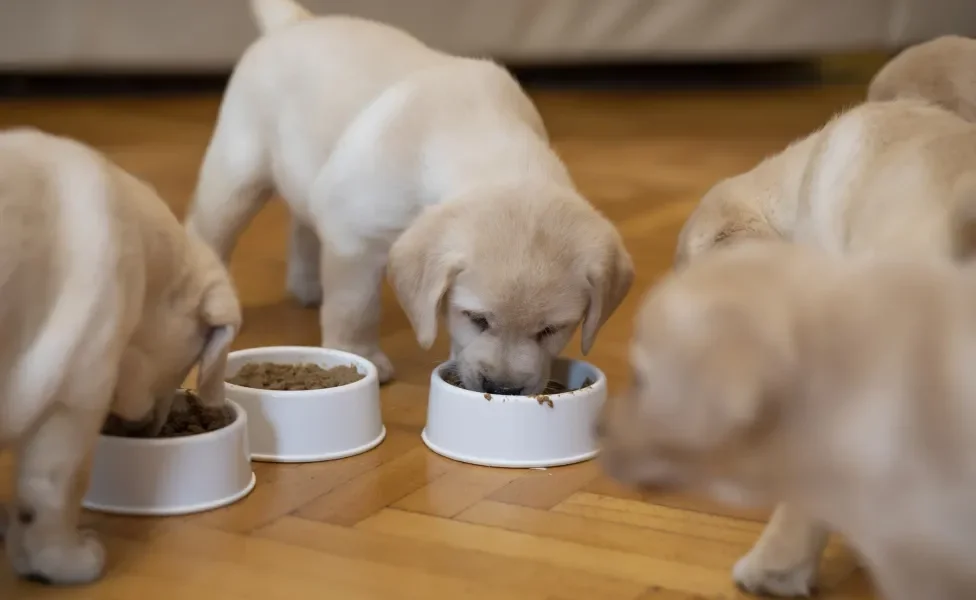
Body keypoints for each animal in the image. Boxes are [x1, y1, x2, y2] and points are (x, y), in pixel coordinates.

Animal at [183, 0, 632, 396]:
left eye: (551, 330)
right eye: (477, 318)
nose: (502, 388)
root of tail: (296, 22)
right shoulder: (354, 236)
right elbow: (355, 305)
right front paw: (358, 353)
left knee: (303, 220)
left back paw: (308, 285)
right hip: (236, 173)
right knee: (207, 231)